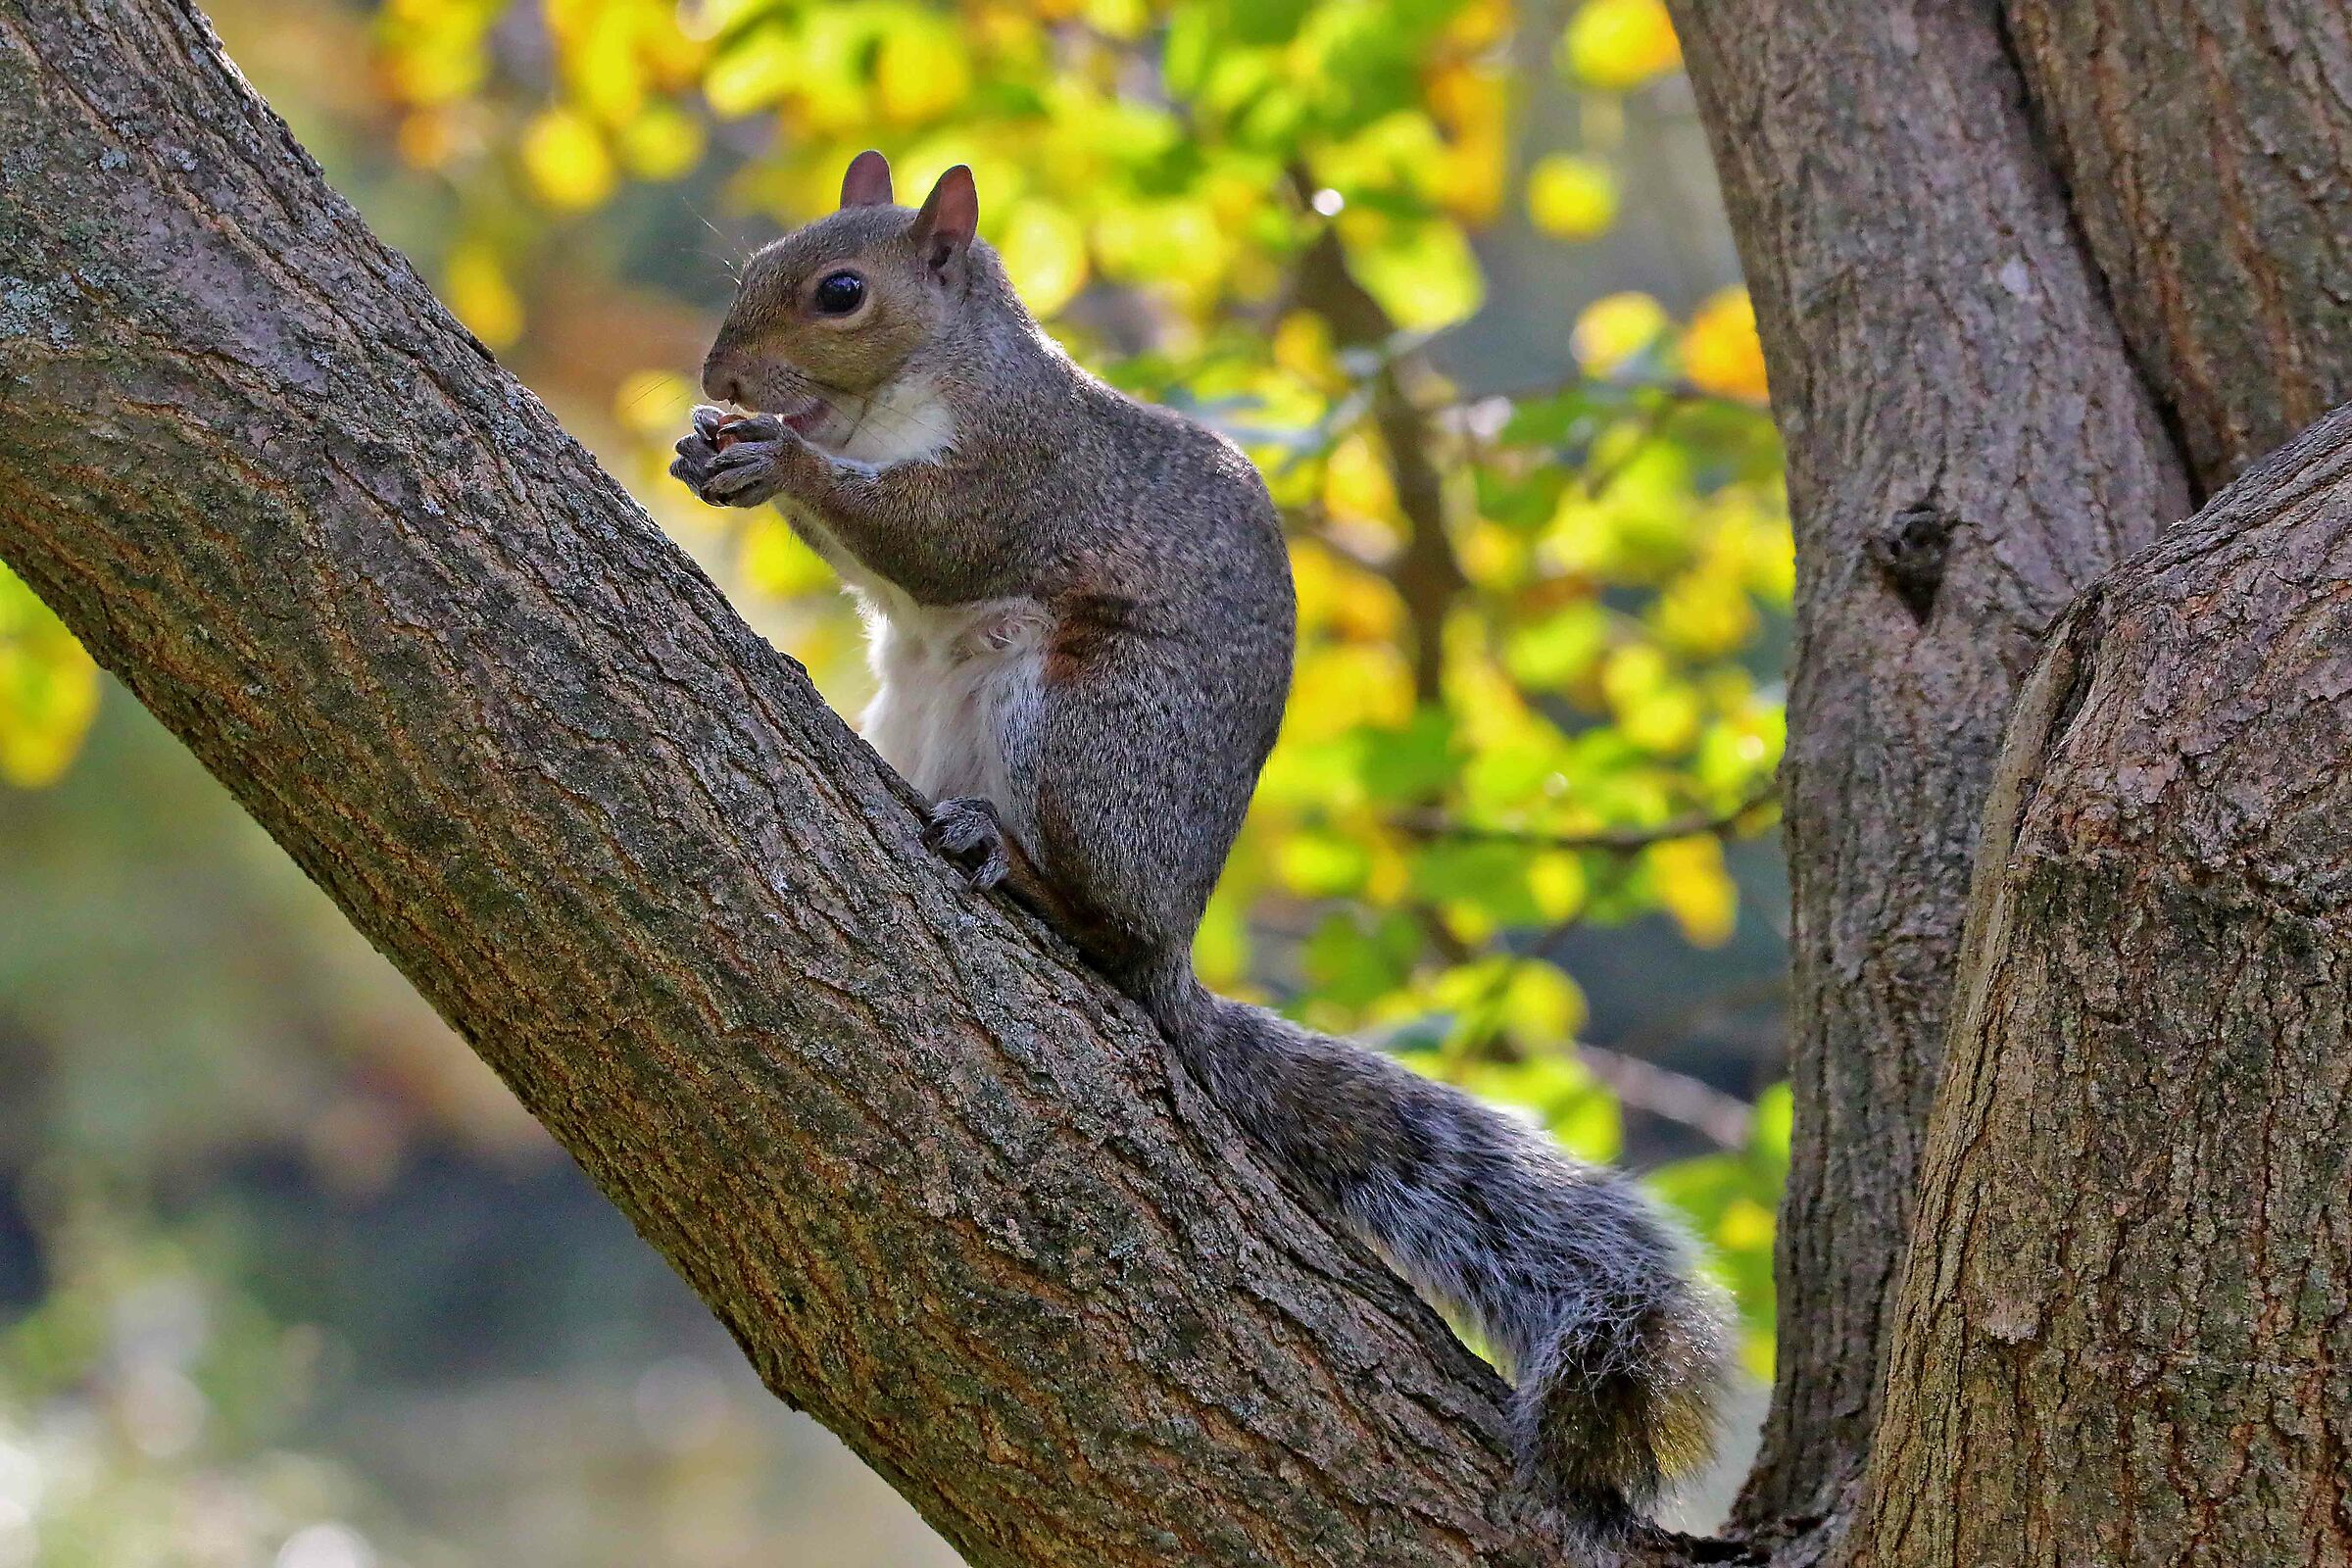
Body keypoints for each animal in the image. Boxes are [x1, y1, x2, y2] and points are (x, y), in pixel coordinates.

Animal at [670, 151, 1732, 1534]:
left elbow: (933, 537)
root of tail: (1178, 929)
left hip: (1082, 733)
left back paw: (1015, 862)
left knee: (1103, 923)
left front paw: (779, 458)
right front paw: (714, 452)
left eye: (841, 292)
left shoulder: (1026, 471)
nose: (721, 377)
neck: (897, 396)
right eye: (753, 267)